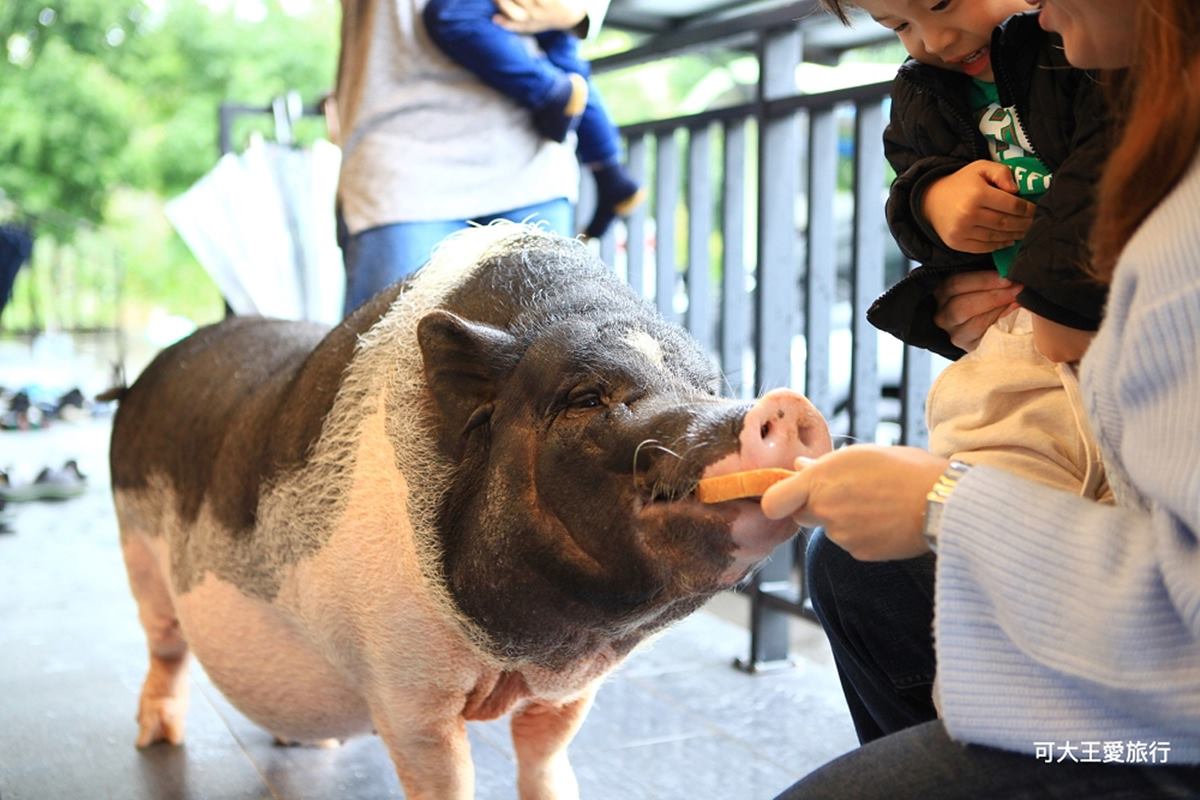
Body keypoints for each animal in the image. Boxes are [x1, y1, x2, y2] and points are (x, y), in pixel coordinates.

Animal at [108, 225, 830, 800]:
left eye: (705, 387)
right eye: (586, 397)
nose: (783, 405)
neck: (525, 655)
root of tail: (149, 373)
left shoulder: (568, 691)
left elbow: (546, 759)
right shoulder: (404, 684)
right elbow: (445, 777)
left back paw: (309, 747)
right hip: (135, 544)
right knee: (163, 645)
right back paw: (154, 740)